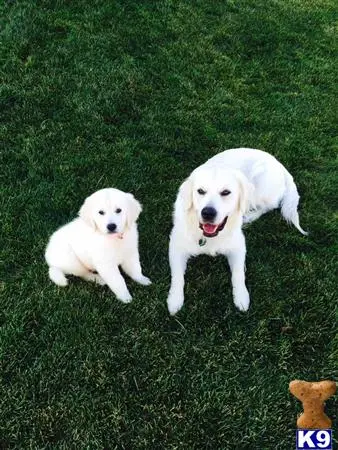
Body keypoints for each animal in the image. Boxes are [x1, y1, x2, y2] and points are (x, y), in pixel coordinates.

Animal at [168, 147, 308, 312]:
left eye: (226, 192)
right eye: (200, 191)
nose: (208, 213)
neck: (208, 236)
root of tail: (280, 165)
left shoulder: (238, 246)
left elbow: (238, 273)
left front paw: (241, 298)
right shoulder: (176, 246)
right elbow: (177, 276)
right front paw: (174, 300)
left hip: (259, 189)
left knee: (269, 206)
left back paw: (249, 216)